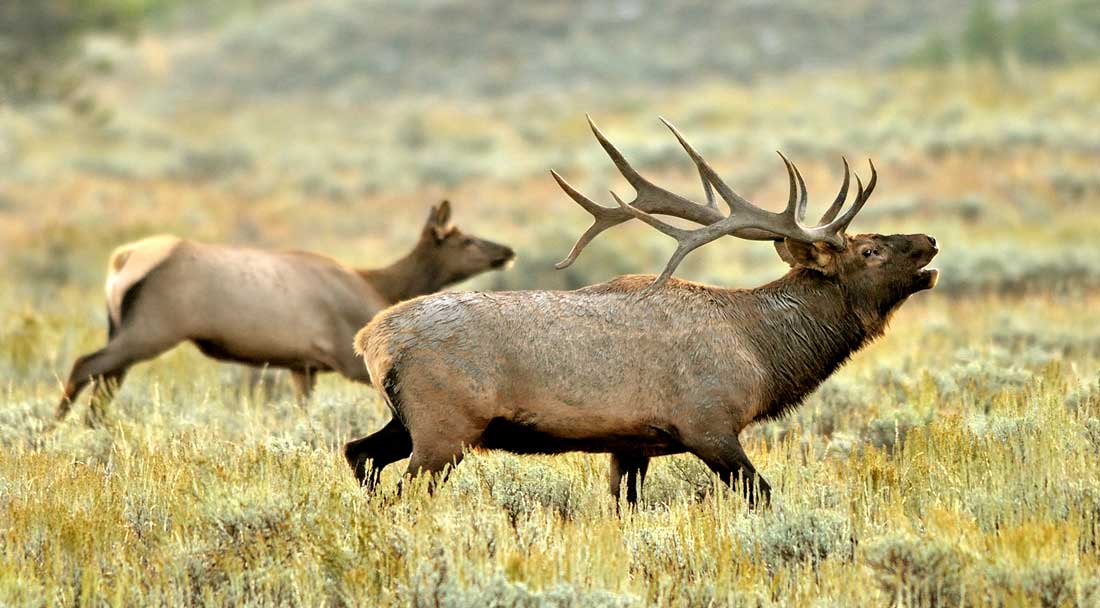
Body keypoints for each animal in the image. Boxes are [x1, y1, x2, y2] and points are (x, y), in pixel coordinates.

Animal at [53, 199, 512, 422]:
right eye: (466, 240)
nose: (506, 251)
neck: (380, 287)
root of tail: (122, 260)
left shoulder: (302, 366)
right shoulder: (347, 358)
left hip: (125, 328)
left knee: (108, 378)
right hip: (154, 327)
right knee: (86, 365)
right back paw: (57, 428)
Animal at [345, 115, 937, 505]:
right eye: (870, 250)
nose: (929, 242)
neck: (763, 354)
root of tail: (371, 339)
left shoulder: (632, 444)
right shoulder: (709, 424)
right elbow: (763, 494)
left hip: (411, 421)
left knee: (358, 453)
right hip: (444, 425)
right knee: (399, 489)